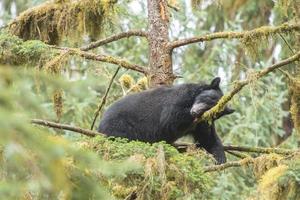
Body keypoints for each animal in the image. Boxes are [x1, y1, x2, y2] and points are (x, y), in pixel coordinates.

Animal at [98, 77, 234, 163]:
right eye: (207, 99)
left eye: (215, 114)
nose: (195, 111)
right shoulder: (180, 97)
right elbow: (170, 118)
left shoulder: (202, 124)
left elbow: (208, 137)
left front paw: (221, 158)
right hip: (121, 126)